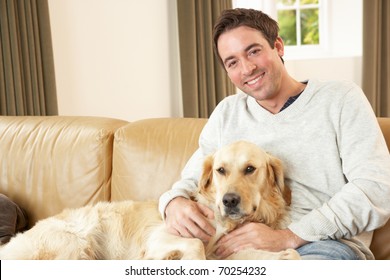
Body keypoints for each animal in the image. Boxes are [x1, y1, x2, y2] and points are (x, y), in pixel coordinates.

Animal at [0, 141, 298, 260]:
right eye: (220, 170)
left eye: (250, 169)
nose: (229, 201)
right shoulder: (163, 236)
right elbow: (196, 247)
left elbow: (289, 254)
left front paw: (285, 255)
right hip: (73, 244)